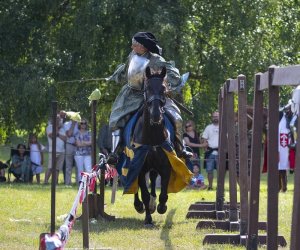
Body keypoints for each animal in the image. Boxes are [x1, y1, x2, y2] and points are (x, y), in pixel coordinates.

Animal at [132, 65, 173, 226]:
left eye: (163, 88)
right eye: (147, 88)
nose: (156, 115)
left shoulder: (166, 167)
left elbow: (163, 193)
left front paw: (161, 206)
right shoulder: (140, 168)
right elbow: (144, 193)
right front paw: (148, 217)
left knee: (154, 178)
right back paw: (139, 206)